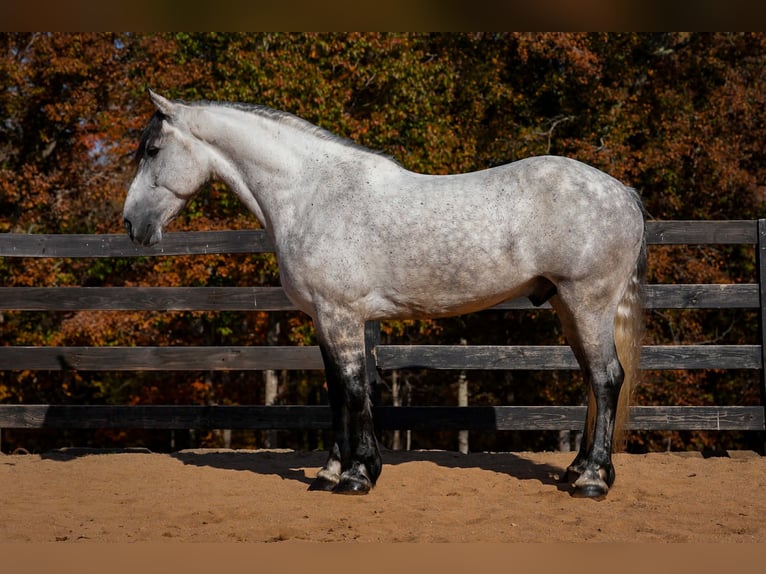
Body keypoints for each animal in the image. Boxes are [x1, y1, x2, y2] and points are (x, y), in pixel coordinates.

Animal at [123, 90, 646, 499]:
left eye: (152, 149)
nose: (132, 224)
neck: (312, 194)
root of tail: (621, 192)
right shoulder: (326, 318)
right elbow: (339, 391)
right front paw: (331, 472)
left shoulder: (341, 315)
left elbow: (354, 388)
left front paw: (357, 476)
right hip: (567, 307)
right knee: (593, 379)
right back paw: (577, 470)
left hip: (587, 303)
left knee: (607, 378)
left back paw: (592, 480)